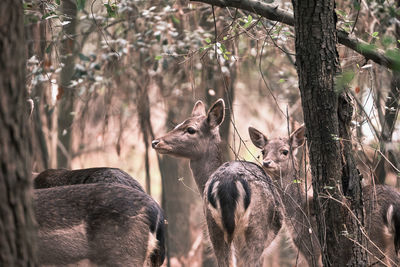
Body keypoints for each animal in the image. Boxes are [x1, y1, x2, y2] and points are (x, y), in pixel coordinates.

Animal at [152, 100, 282, 267]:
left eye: (190, 129)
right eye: (176, 126)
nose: (156, 142)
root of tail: (228, 184)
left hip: (213, 226)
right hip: (256, 228)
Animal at [248, 126, 400, 267]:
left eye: (285, 151)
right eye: (263, 151)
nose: (266, 162)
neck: (300, 213)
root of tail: (393, 205)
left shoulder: (313, 248)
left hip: (375, 242)